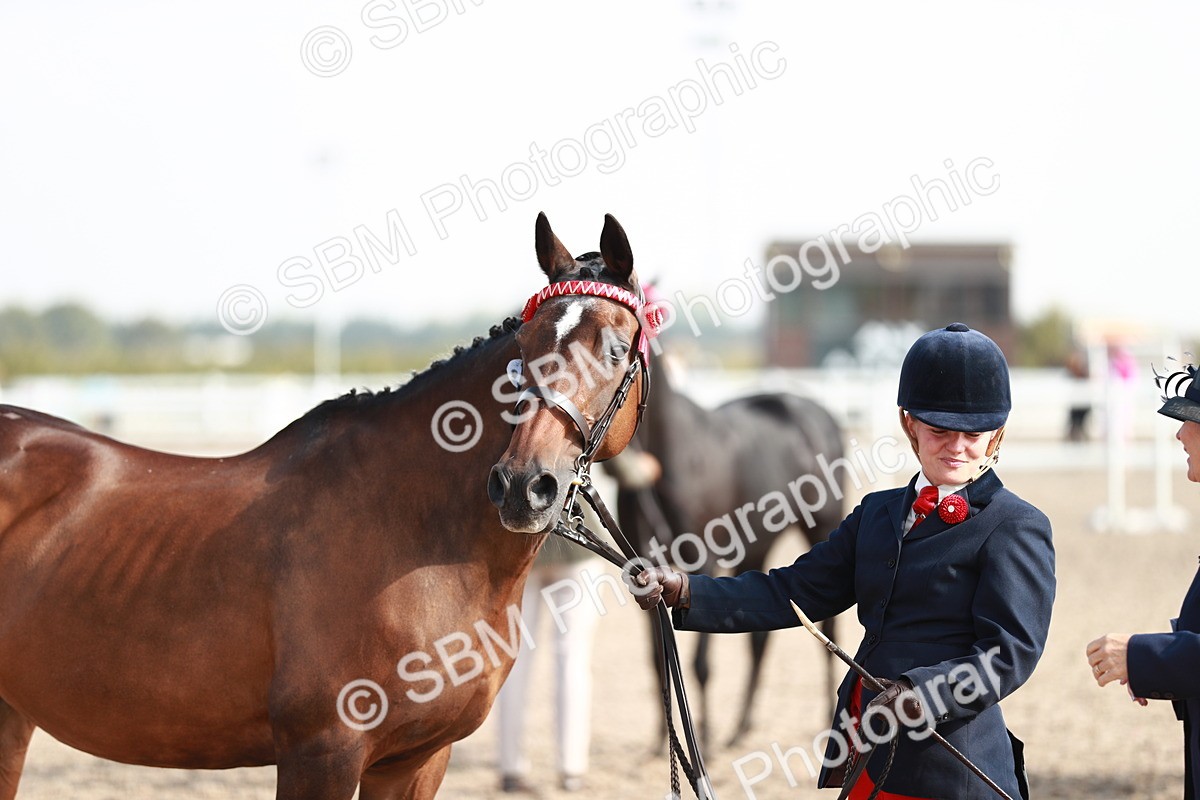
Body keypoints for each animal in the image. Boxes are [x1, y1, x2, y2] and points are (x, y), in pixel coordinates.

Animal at [0, 212, 651, 800]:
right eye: (522, 350)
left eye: (617, 350)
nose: (522, 485)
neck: (414, 537)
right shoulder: (322, 753)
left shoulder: (417, 760)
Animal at [611, 351, 844, 749]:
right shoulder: (642, 569)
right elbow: (657, 659)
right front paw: (662, 741)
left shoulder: (704, 560)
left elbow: (700, 664)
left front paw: (702, 736)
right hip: (755, 549)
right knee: (760, 639)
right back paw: (740, 728)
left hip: (822, 530)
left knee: (826, 631)